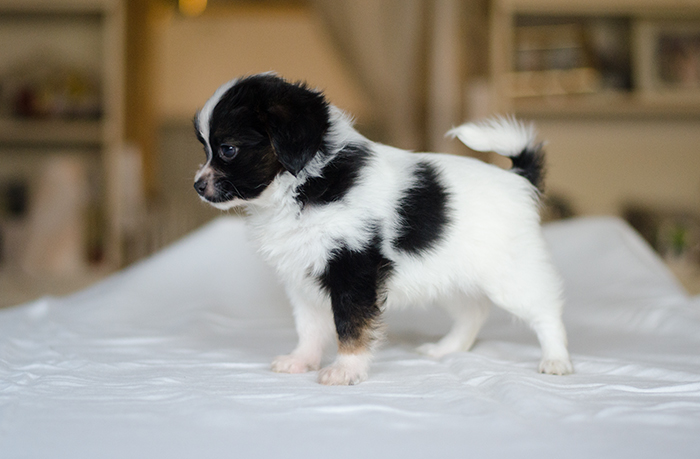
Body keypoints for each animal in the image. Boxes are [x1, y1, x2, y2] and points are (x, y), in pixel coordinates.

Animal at [193, 73, 573, 385]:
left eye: (227, 149)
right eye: (206, 149)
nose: (197, 185)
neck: (304, 185)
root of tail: (518, 178)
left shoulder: (353, 271)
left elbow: (350, 326)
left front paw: (345, 370)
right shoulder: (303, 276)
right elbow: (310, 327)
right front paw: (302, 360)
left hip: (512, 275)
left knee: (545, 311)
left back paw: (556, 360)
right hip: (451, 277)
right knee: (473, 313)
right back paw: (446, 349)